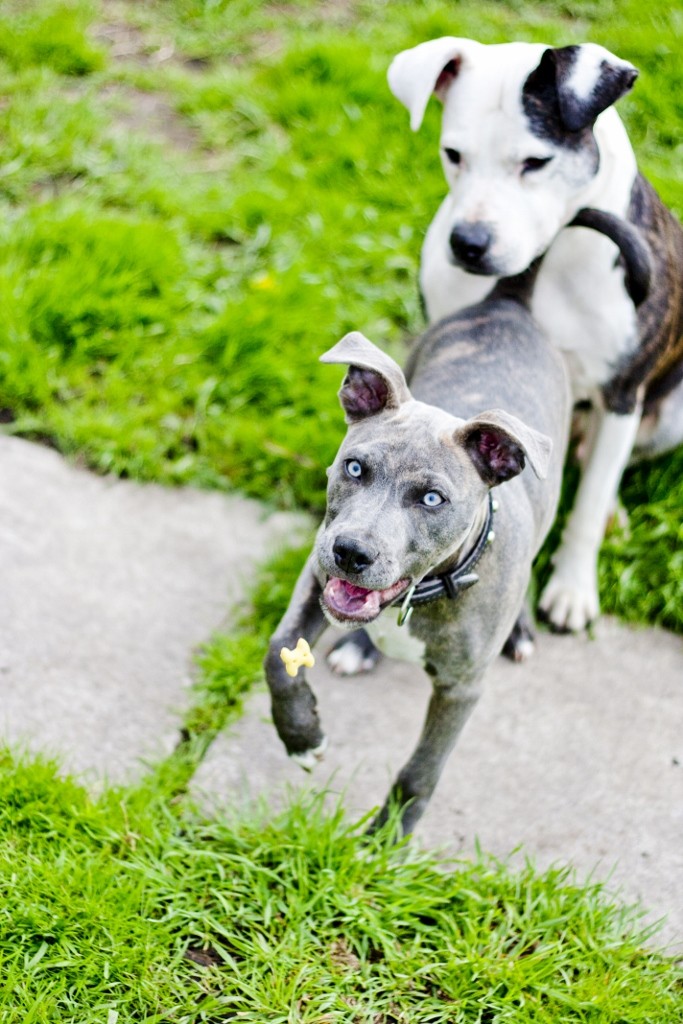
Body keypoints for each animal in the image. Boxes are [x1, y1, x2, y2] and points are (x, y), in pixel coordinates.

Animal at [264, 207, 651, 831]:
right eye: (354, 467)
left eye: (431, 499)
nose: (350, 552)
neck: (425, 594)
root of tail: (510, 302)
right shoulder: (314, 580)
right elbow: (278, 656)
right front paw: (302, 739)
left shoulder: (461, 689)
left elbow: (422, 768)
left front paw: (387, 839)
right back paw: (359, 648)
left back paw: (518, 630)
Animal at [389, 37, 683, 630]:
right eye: (453, 154)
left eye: (536, 162)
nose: (468, 243)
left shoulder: (623, 395)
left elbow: (587, 505)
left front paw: (572, 587)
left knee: (602, 469)